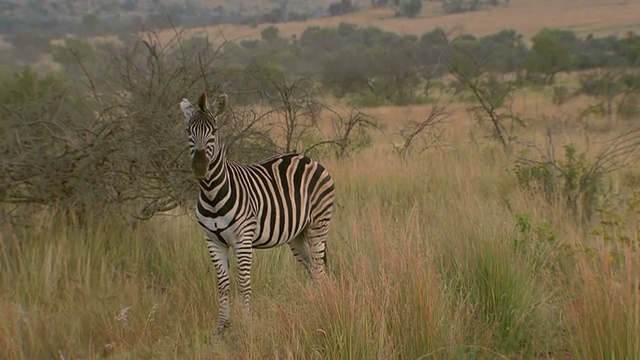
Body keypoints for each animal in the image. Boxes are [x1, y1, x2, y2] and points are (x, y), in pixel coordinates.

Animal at [179, 91, 336, 336]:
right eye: (188, 130)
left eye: (214, 130)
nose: (200, 167)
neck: (212, 193)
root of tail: (307, 158)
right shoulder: (212, 240)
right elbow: (223, 284)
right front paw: (221, 328)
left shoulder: (243, 239)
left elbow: (243, 283)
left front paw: (246, 326)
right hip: (297, 235)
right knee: (311, 268)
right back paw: (314, 307)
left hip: (318, 225)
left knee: (319, 269)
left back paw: (322, 309)